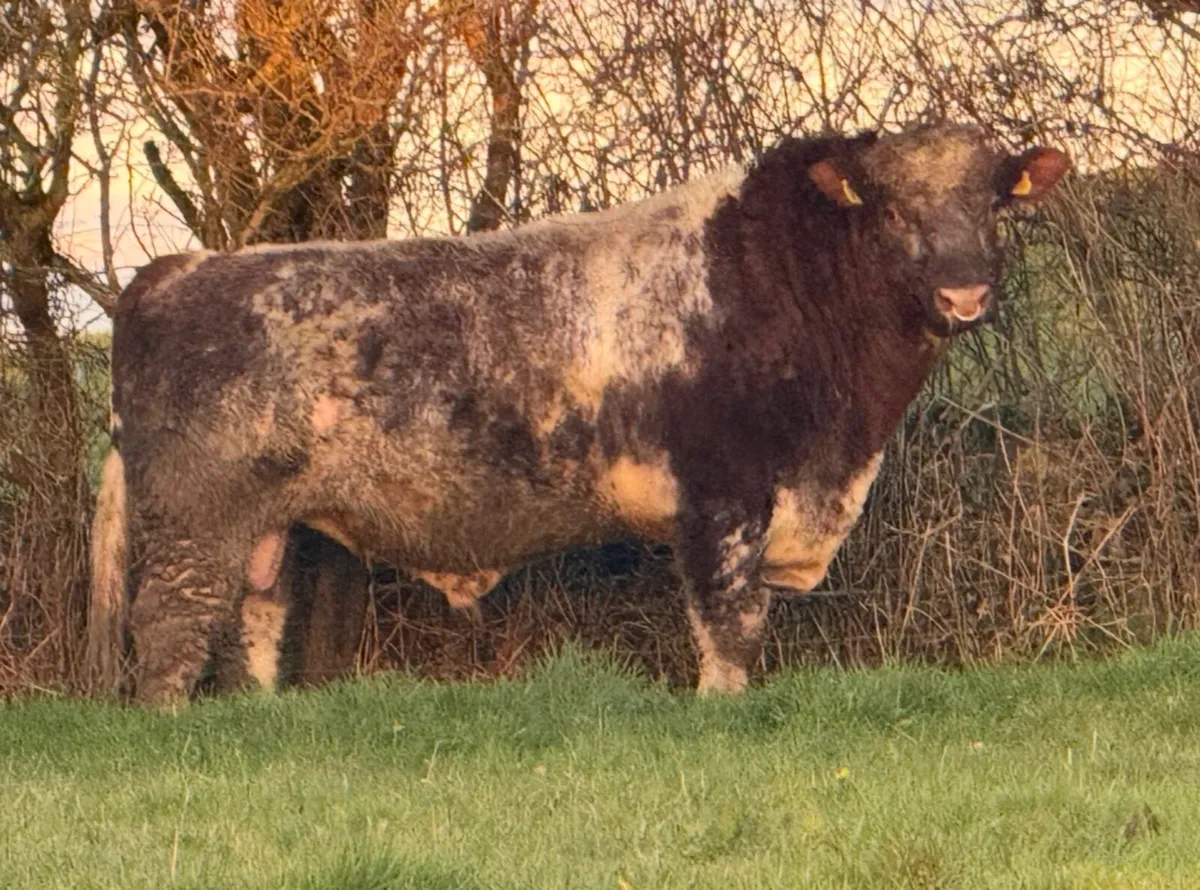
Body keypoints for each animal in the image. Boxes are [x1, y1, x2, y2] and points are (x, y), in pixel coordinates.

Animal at [88, 121, 1069, 704]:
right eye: (895, 211)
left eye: (993, 203)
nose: (966, 291)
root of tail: (177, 269)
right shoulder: (723, 495)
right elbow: (730, 620)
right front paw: (723, 708)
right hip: (192, 518)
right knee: (168, 631)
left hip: (262, 524)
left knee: (252, 620)